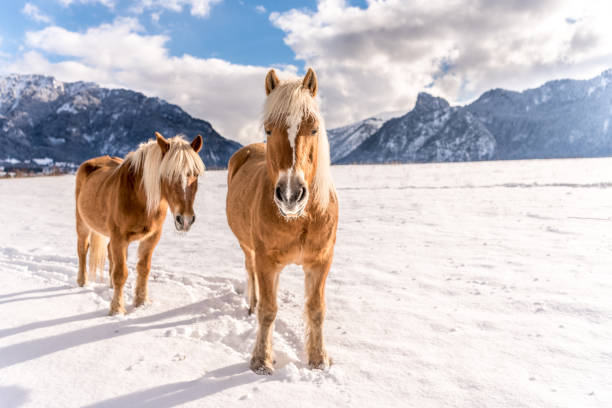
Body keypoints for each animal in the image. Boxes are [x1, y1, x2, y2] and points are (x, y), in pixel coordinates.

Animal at [75, 133, 204, 316]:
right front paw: (117, 309)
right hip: (82, 223)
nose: (185, 219)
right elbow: (121, 273)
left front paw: (141, 302)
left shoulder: (152, 237)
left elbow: (143, 269)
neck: (139, 197)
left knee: (109, 253)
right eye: (167, 173)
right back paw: (82, 281)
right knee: (82, 249)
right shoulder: (119, 237)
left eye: (196, 174)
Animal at [226, 67, 340, 376]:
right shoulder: (267, 261)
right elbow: (268, 310)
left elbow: (316, 309)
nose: (291, 194)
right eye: (268, 129)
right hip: (247, 246)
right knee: (250, 271)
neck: (299, 220)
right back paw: (250, 304)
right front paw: (261, 361)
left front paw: (318, 358)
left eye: (313, 128)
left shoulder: (320, 262)